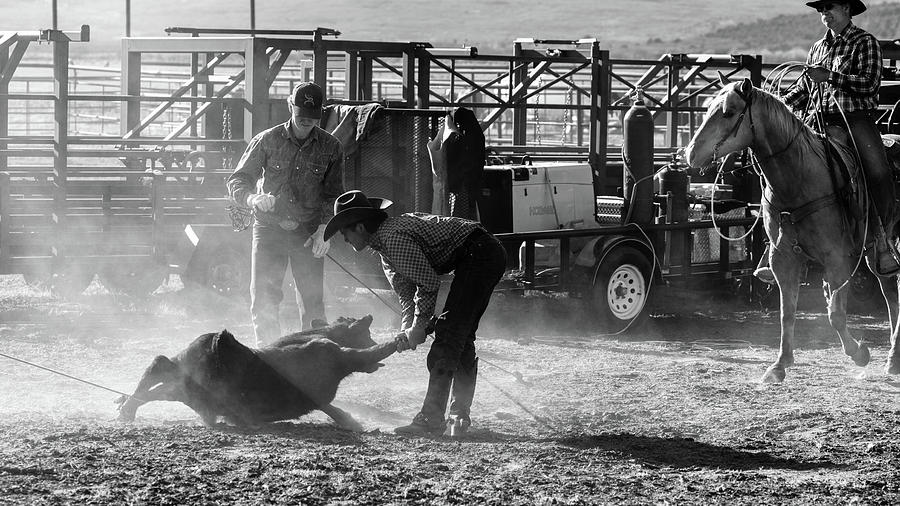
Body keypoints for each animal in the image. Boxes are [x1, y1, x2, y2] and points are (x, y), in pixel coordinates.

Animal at [684, 77, 900, 382]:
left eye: (728, 112)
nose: (690, 154)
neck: (801, 176)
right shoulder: (783, 257)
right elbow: (787, 312)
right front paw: (779, 365)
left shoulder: (837, 258)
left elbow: (835, 314)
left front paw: (859, 353)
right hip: (872, 252)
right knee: (890, 290)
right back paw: (893, 357)